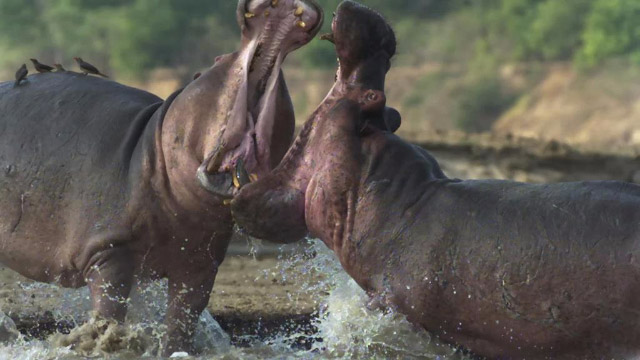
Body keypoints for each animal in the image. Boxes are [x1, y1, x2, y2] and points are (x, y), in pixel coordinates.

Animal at [0, 0, 322, 354]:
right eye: (218, 59)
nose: (282, 6)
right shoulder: (109, 251)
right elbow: (109, 311)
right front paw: (103, 344)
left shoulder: (200, 262)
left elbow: (183, 318)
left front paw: (174, 350)